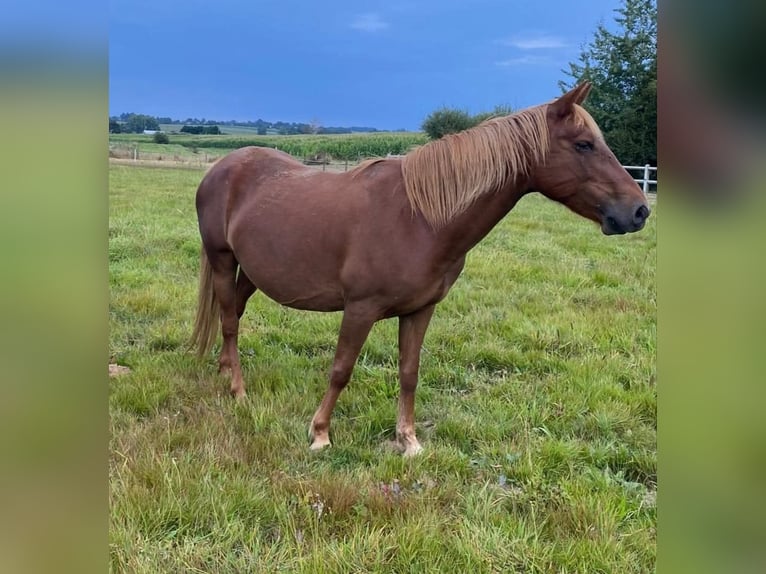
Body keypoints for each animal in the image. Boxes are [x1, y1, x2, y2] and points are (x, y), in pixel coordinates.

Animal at [190, 82, 648, 460]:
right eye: (584, 144)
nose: (639, 211)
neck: (420, 219)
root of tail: (222, 167)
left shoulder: (420, 310)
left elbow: (409, 373)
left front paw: (407, 440)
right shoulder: (360, 309)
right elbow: (341, 369)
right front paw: (320, 433)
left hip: (252, 271)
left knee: (234, 315)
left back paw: (224, 370)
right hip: (222, 259)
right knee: (229, 321)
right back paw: (238, 390)